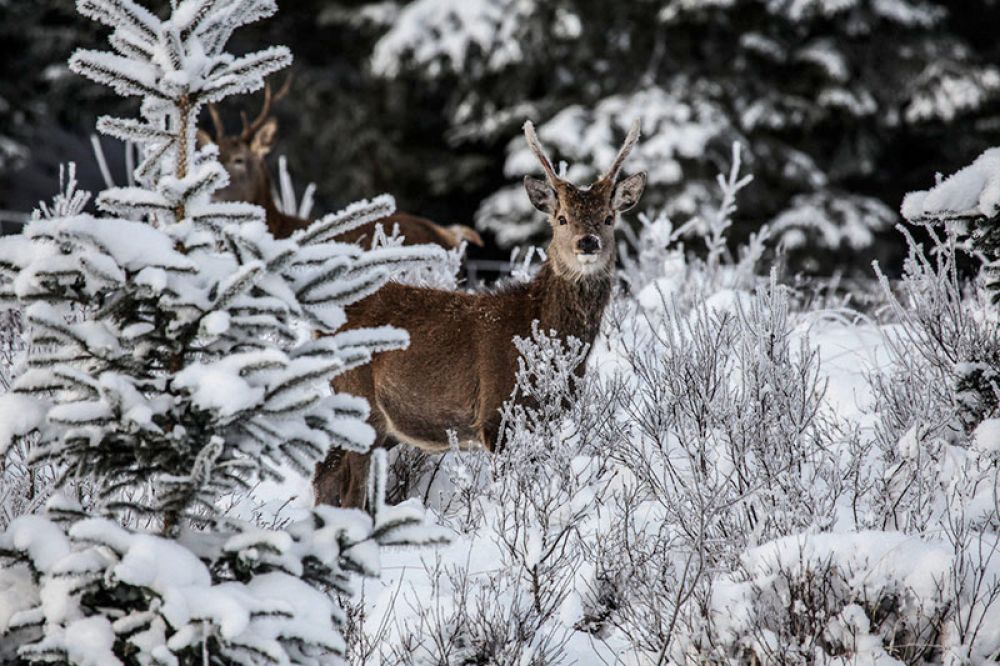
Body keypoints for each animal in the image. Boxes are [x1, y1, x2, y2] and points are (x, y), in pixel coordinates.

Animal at [316, 119, 652, 506]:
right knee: (349, 490)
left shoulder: (551, 418)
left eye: (609, 218)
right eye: (562, 218)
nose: (588, 242)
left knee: (325, 473)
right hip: (360, 403)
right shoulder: (497, 415)